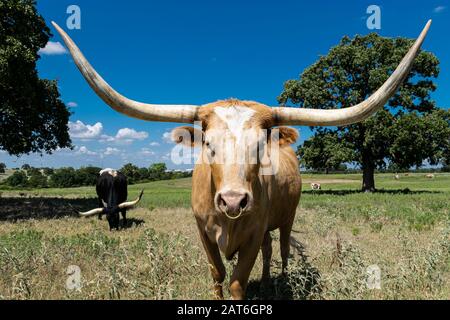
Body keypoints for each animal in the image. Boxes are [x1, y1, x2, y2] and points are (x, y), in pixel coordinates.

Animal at [51, 20, 432, 300]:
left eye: (260, 144)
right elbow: (218, 273)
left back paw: (278, 281)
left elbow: (238, 280)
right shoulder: (203, 233)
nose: (233, 200)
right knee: (269, 249)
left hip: (287, 217)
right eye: (208, 143)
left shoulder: (252, 232)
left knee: (279, 250)